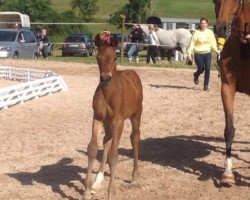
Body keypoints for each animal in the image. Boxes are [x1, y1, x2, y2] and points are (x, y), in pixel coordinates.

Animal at [83, 32, 143, 199]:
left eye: (115, 58)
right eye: (97, 57)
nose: (105, 78)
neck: (108, 94)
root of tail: (133, 73)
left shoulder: (118, 121)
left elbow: (113, 156)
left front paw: (111, 192)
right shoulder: (97, 119)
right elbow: (92, 148)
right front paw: (87, 191)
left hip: (136, 115)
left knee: (135, 138)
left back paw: (135, 176)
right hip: (107, 123)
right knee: (106, 141)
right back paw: (98, 181)